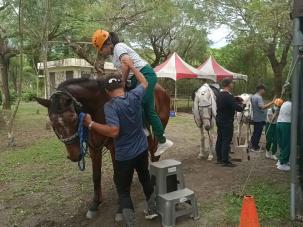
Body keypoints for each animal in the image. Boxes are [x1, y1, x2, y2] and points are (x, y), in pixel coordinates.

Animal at [35, 77, 171, 218]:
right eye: (52, 123)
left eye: (74, 119)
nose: (75, 156)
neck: (98, 108)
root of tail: (162, 90)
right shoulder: (94, 147)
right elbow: (96, 176)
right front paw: (95, 204)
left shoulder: (115, 148)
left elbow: (118, 177)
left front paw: (120, 208)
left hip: (160, 124)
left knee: (155, 152)